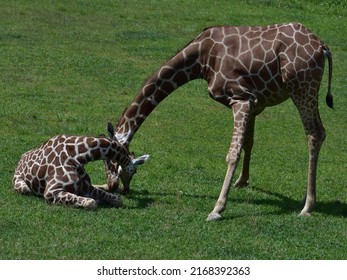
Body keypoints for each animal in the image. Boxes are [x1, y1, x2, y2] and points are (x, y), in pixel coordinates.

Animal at [11, 121, 148, 209]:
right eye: (134, 171)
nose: (126, 190)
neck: (77, 156)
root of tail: (20, 159)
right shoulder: (51, 191)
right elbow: (91, 203)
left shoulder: (86, 186)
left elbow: (117, 199)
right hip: (23, 187)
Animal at [109, 22, 334, 221]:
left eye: (117, 163)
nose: (116, 188)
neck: (200, 58)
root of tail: (323, 47)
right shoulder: (254, 102)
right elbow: (248, 142)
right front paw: (242, 181)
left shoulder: (240, 98)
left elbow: (232, 154)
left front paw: (217, 209)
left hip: (302, 87)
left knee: (315, 133)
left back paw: (307, 206)